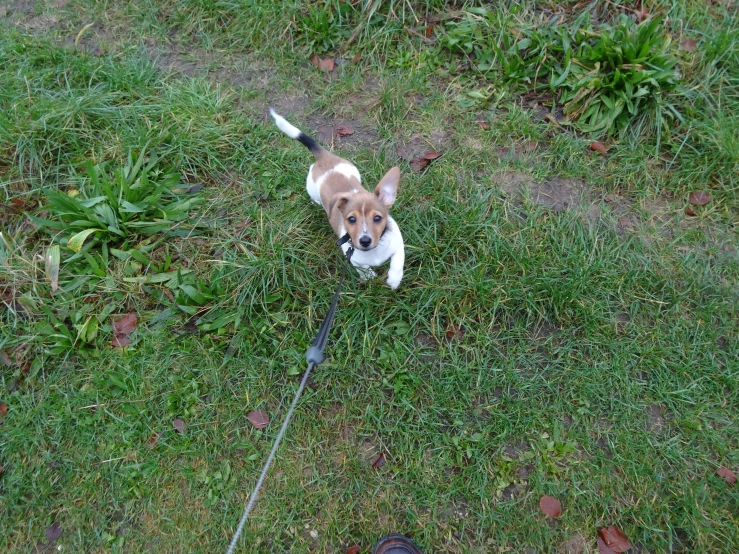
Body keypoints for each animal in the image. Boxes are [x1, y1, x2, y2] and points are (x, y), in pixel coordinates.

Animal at [270, 109, 404, 288]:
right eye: (351, 219)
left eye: (377, 218)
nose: (365, 240)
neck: (374, 251)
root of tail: (324, 156)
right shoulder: (354, 259)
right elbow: (363, 268)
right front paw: (369, 276)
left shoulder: (398, 244)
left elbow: (398, 261)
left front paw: (394, 280)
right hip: (311, 188)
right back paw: (316, 202)